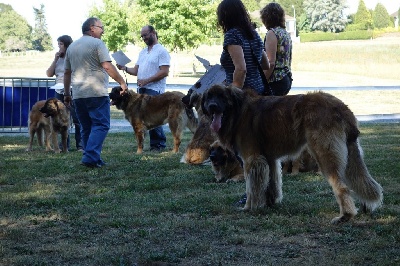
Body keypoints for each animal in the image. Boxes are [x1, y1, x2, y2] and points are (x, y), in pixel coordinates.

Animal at [203, 85, 384, 224]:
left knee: (342, 186)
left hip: (325, 153)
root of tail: (341, 106)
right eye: (209, 97)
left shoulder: (252, 159)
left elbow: (252, 188)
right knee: (360, 179)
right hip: (349, 153)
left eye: (221, 96)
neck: (237, 110)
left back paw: (345, 216)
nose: (212, 106)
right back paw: (365, 207)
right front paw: (270, 203)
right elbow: (272, 183)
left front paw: (249, 207)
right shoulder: (269, 158)